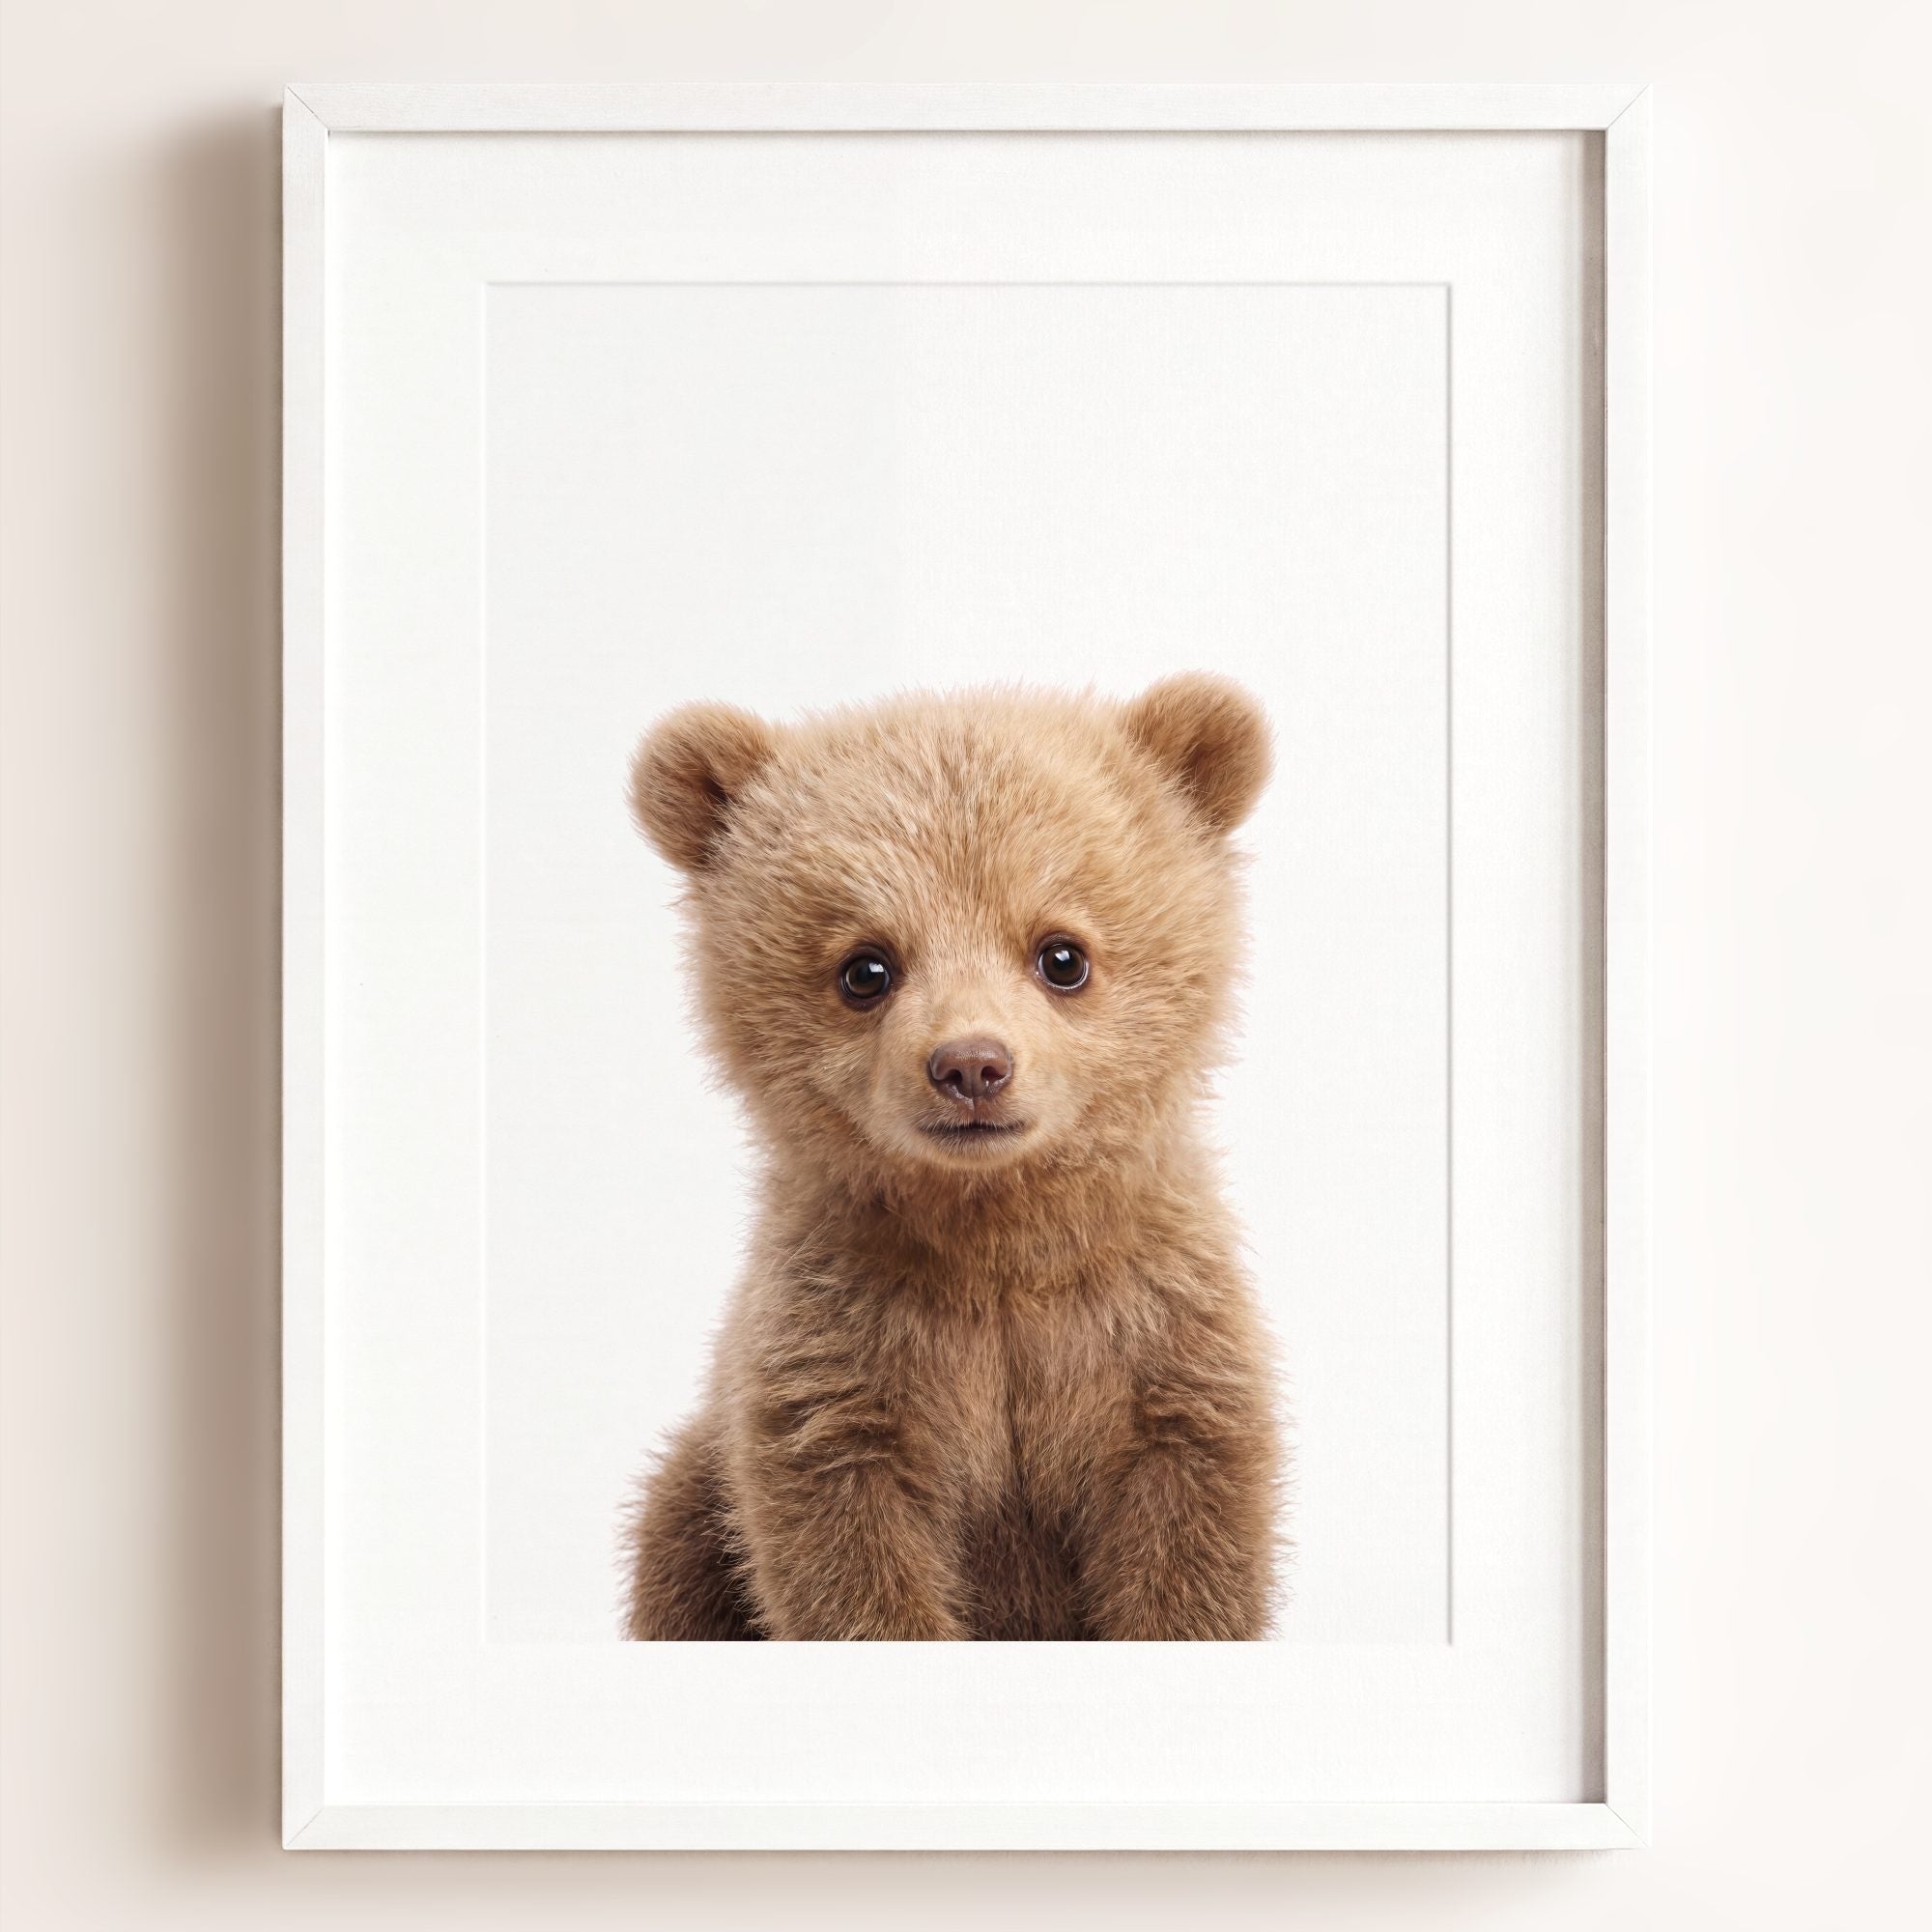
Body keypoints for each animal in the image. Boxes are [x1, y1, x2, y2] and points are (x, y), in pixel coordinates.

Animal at [620, 674, 1283, 1640]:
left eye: (1062, 955)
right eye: (865, 967)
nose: (971, 1065)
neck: (994, 1238)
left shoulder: (1155, 1341)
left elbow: (1189, 1544)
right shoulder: (841, 1361)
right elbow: (848, 1558)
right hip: (694, 1503)